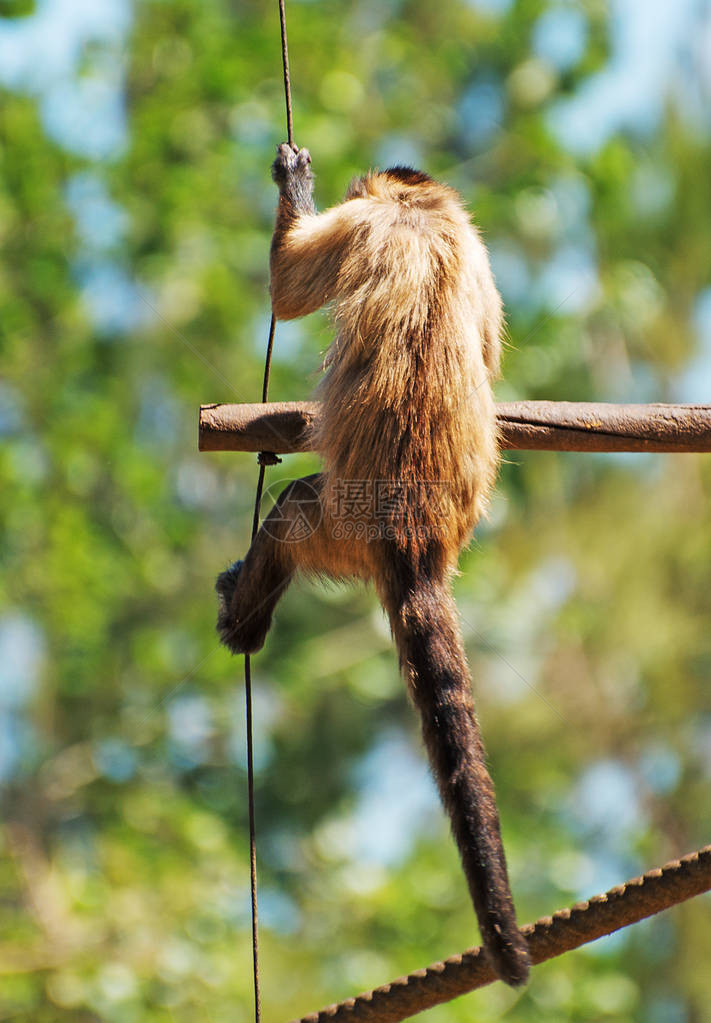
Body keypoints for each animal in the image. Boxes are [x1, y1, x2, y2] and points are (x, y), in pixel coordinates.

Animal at [216, 142, 527, 982]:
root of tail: (415, 541)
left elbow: (288, 289)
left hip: (339, 525)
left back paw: (245, 611)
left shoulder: (366, 220)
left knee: (292, 510)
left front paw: (293, 181)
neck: (423, 212)